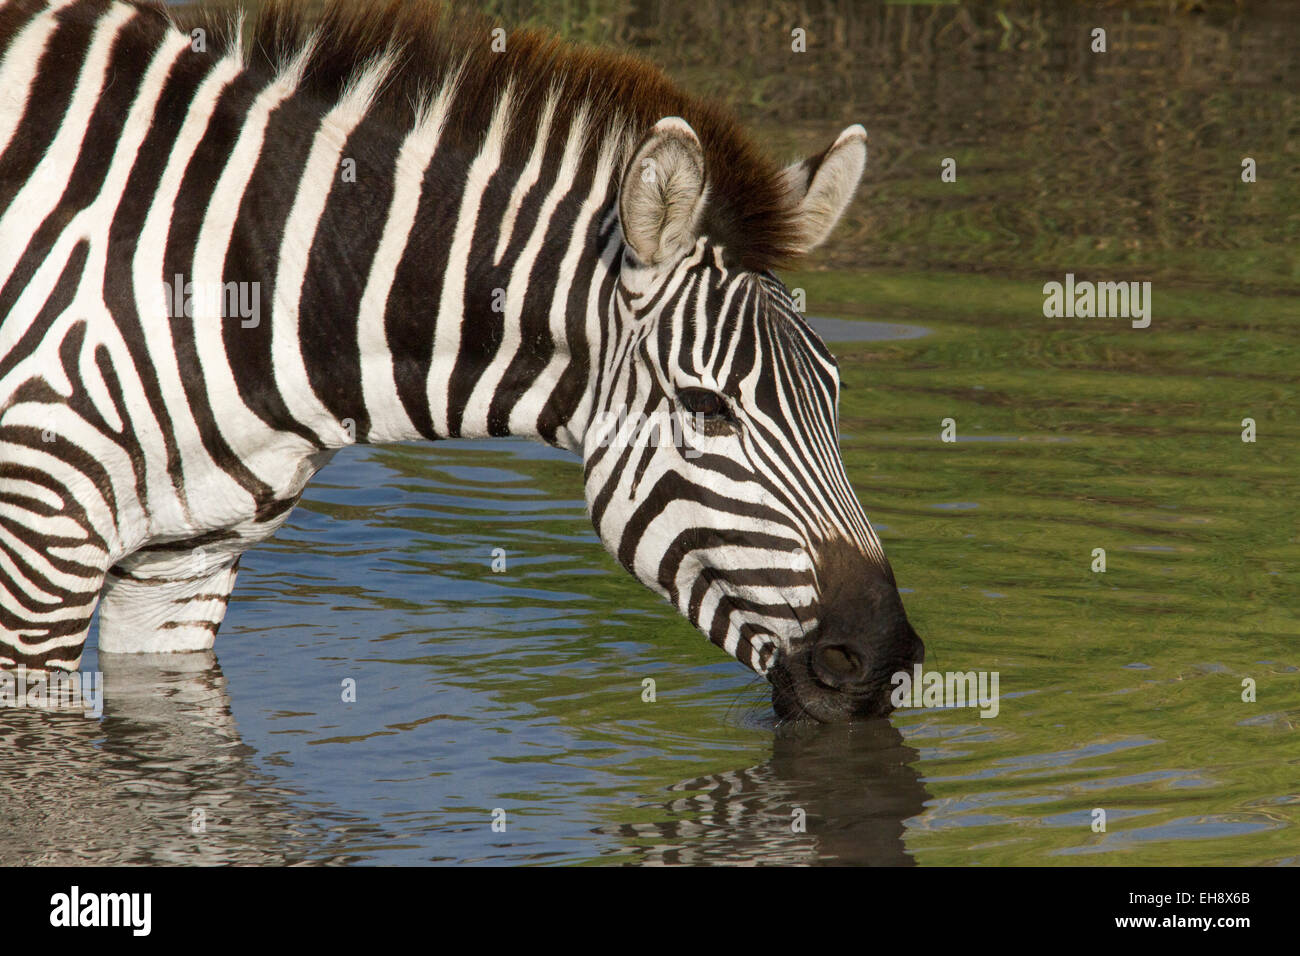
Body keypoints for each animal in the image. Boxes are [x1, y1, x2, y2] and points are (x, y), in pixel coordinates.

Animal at [0, 0, 925, 717]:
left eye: (835, 394)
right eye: (706, 408)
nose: (881, 661)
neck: (243, 271)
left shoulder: (183, 570)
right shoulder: (36, 550)